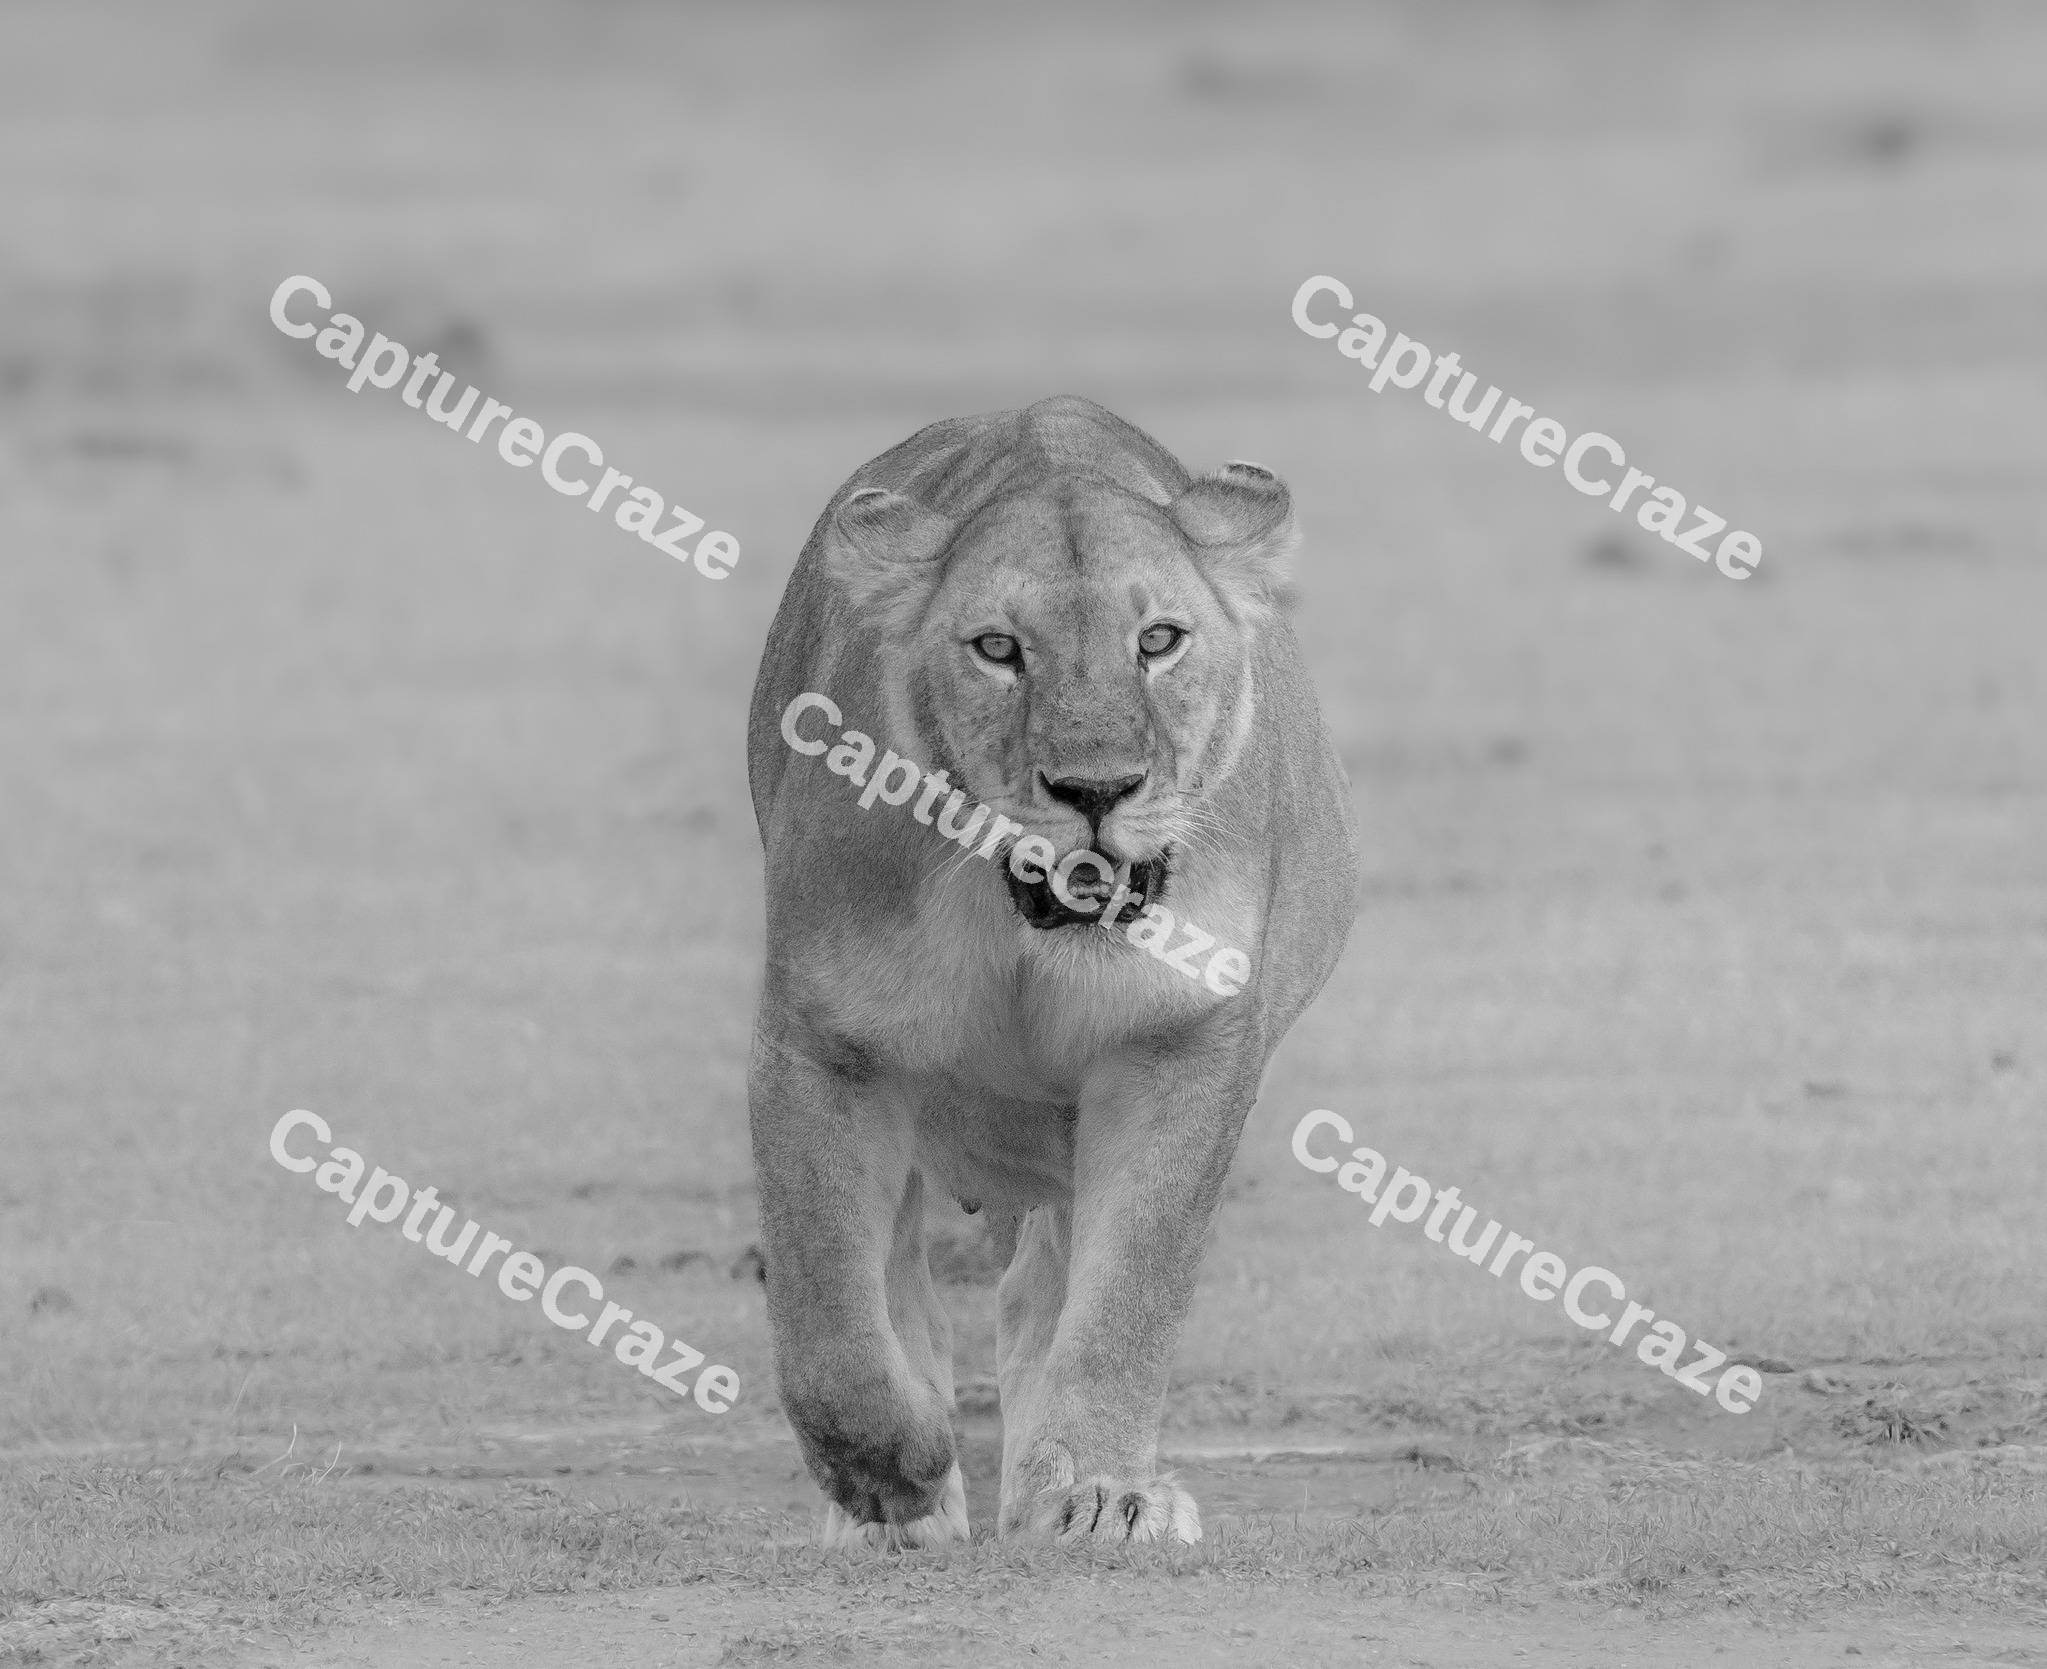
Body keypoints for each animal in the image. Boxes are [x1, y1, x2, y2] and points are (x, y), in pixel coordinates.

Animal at [745, 394, 1359, 1548]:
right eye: (998, 649)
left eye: (1157, 640)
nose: (1096, 787)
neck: (1023, 929)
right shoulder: (821, 1041)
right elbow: (827, 1309)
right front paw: (887, 1479)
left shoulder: (1178, 1039)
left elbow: (1128, 1293)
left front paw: (1099, 1491)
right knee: (902, 1281)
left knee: (1041, 1291)